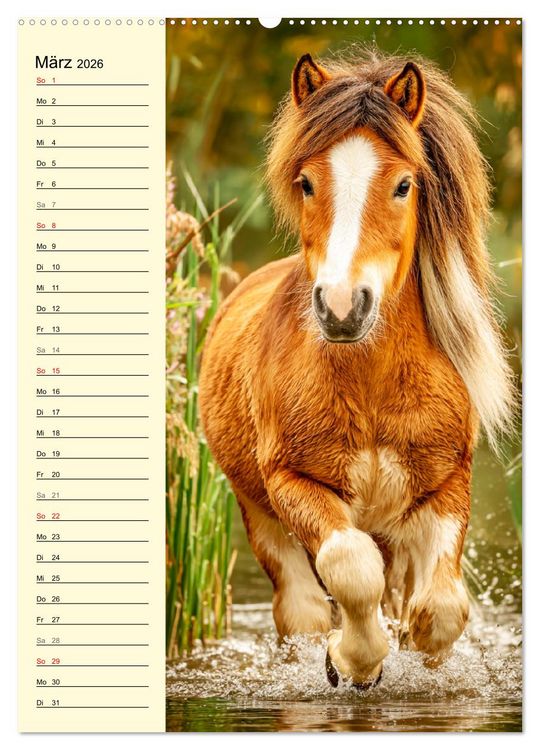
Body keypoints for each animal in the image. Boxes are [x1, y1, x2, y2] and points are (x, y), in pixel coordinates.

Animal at [199, 49, 516, 689]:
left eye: (403, 184)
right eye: (306, 182)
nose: (343, 307)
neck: (370, 384)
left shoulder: (447, 484)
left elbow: (442, 608)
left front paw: (417, 654)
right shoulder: (295, 483)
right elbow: (350, 566)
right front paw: (350, 660)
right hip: (261, 519)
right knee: (301, 606)